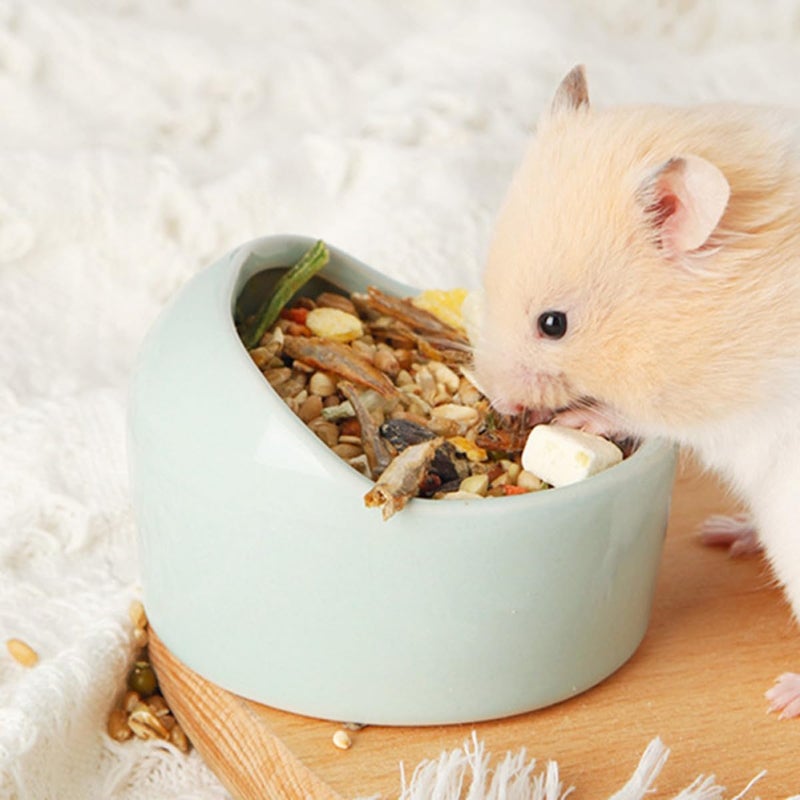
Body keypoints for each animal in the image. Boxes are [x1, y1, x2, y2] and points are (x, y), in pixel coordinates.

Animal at [473, 65, 800, 717]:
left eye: (553, 324)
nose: (500, 404)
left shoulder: (708, 404)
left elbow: (631, 415)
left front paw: (578, 424)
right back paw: (724, 534)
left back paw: (782, 698)